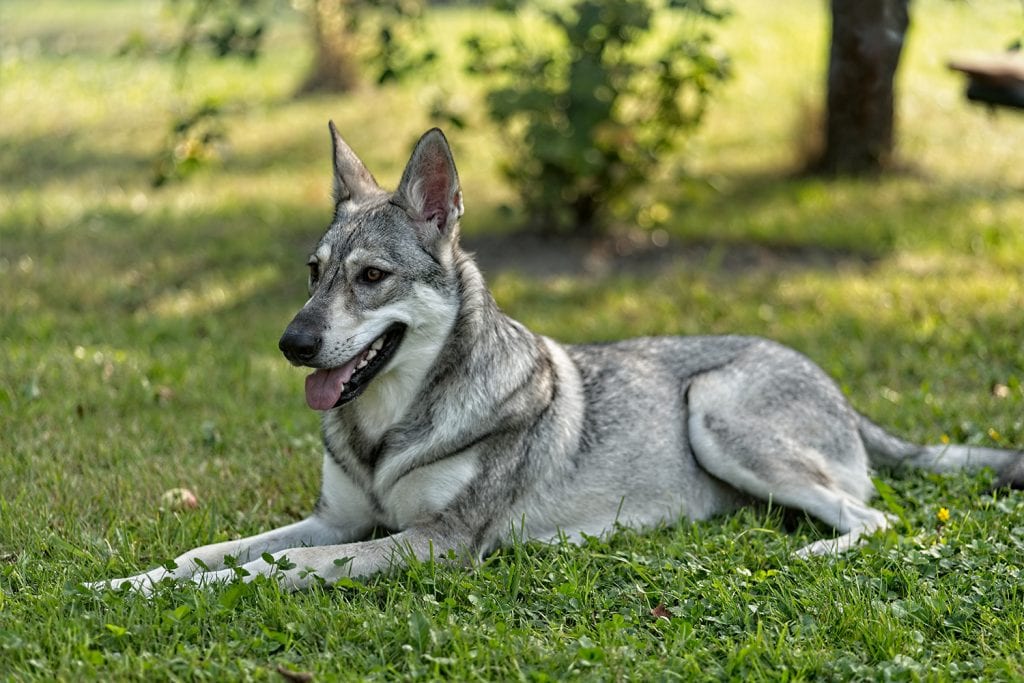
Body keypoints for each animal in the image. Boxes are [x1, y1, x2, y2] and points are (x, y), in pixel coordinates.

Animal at [90, 124, 1024, 593]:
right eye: (313, 272)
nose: (293, 344)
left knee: (875, 520)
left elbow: (269, 567)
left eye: (371, 276)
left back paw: (807, 555)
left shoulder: (433, 545)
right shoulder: (340, 520)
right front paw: (125, 584)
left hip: (715, 409)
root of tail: (834, 384)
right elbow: (208, 553)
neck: (388, 430)